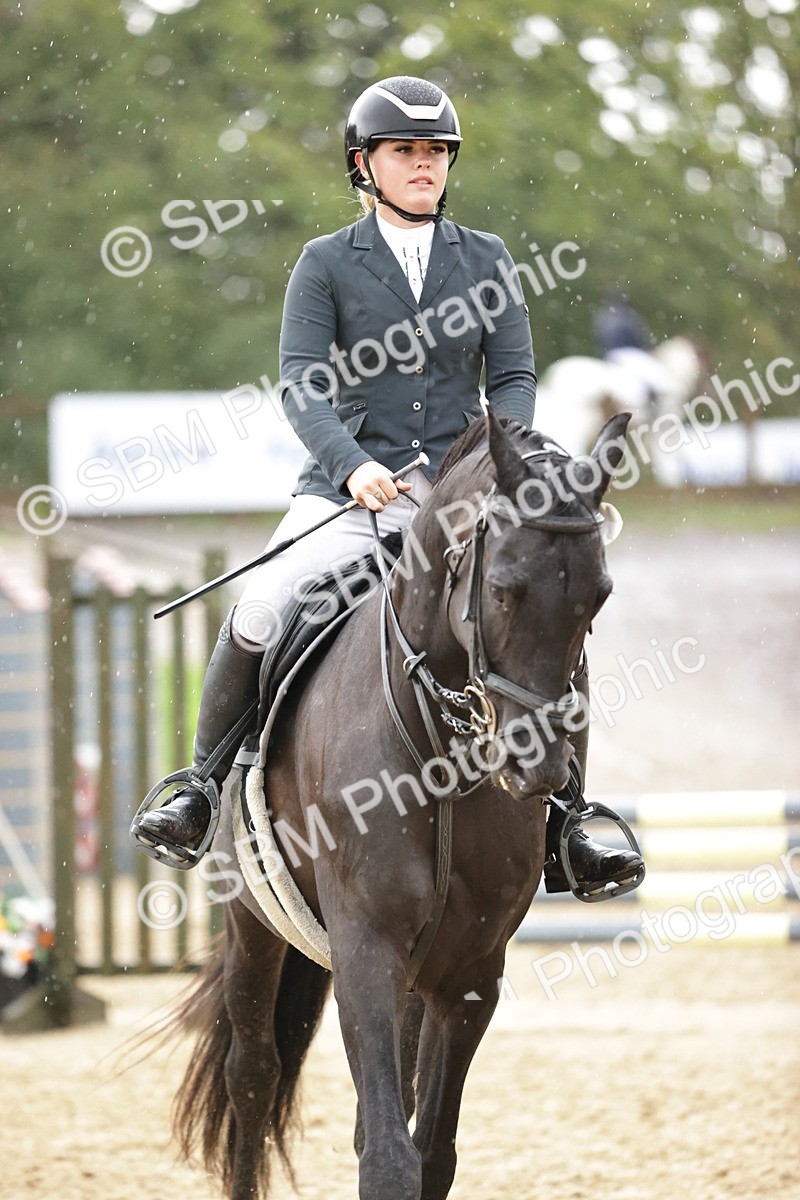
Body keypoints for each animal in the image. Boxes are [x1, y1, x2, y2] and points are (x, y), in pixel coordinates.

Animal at [159, 408, 631, 1200]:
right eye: (503, 589)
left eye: (597, 596)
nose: (536, 766)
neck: (439, 751)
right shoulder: (366, 951)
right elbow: (386, 1154)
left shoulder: (470, 971)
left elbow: (429, 1151)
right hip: (253, 923)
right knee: (253, 1077)